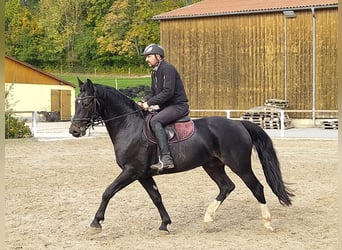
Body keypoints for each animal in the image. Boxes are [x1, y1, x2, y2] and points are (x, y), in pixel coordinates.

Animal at [69, 78, 294, 232]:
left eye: (86, 103)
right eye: (76, 103)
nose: (74, 131)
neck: (129, 125)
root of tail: (238, 123)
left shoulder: (132, 171)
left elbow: (108, 191)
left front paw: (96, 222)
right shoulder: (143, 174)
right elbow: (156, 197)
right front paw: (165, 224)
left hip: (240, 165)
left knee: (256, 187)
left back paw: (267, 223)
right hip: (213, 165)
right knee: (226, 187)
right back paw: (208, 219)